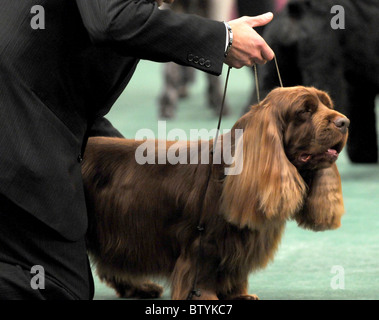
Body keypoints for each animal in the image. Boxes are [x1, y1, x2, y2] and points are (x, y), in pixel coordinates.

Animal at [83, 85, 350, 300]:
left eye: (327, 104)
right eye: (305, 111)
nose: (345, 122)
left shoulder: (238, 244)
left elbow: (234, 271)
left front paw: (238, 294)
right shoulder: (204, 241)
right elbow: (202, 272)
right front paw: (205, 297)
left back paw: (140, 287)